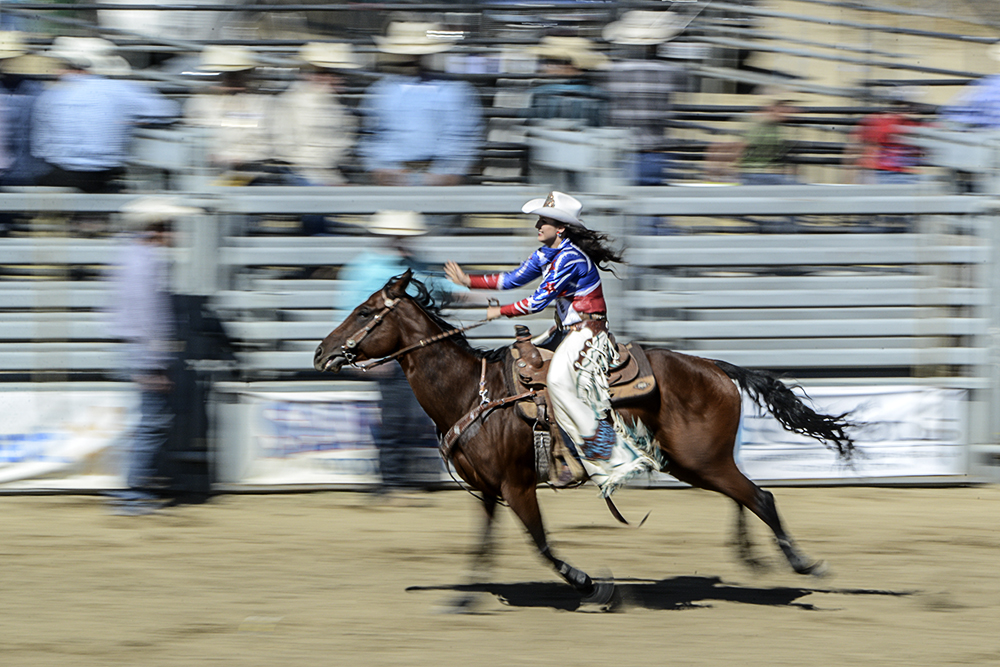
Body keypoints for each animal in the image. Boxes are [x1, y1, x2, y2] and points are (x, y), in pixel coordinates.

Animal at [312, 274, 852, 608]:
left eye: (364, 311)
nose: (320, 353)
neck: (471, 389)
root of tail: (716, 367)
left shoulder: (516, 486)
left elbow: (540, 543)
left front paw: (592, 584)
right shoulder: (488, 490)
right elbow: (482, 546)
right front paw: (463, 597)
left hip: (701, 460)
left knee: (762, 497)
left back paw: (803, 565)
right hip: (693, 464)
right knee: (745, 495)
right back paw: (756, 557)